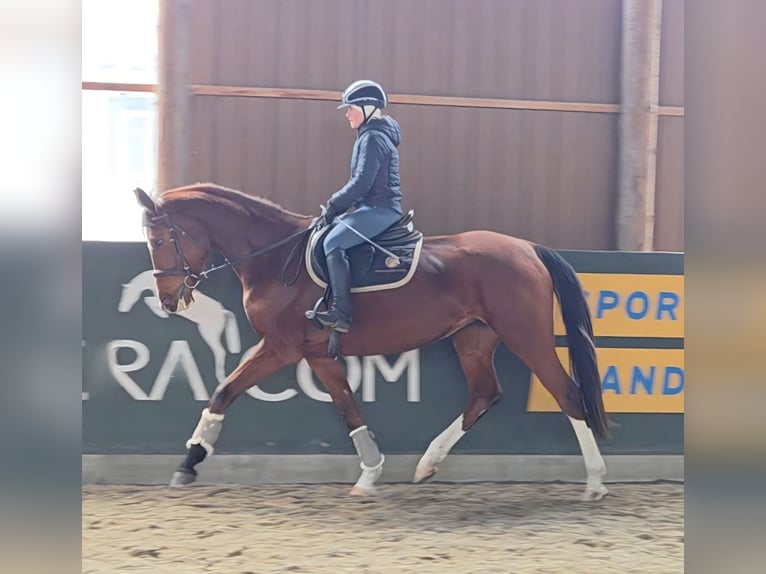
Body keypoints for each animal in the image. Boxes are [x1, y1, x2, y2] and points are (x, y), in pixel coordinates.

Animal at [133, 183, 614, 501]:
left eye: (157, 239)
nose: (169, 300)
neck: (276, 258)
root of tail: (528, 248)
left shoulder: (280, 347)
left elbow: (223, 391)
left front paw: (189, 462)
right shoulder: (316, 354)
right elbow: (349, 408)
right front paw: (369, 475)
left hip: (525, 336)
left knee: (568, 394)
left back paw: (594, 482)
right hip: (474, 339)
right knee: (484, 394)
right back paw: (427, 464)